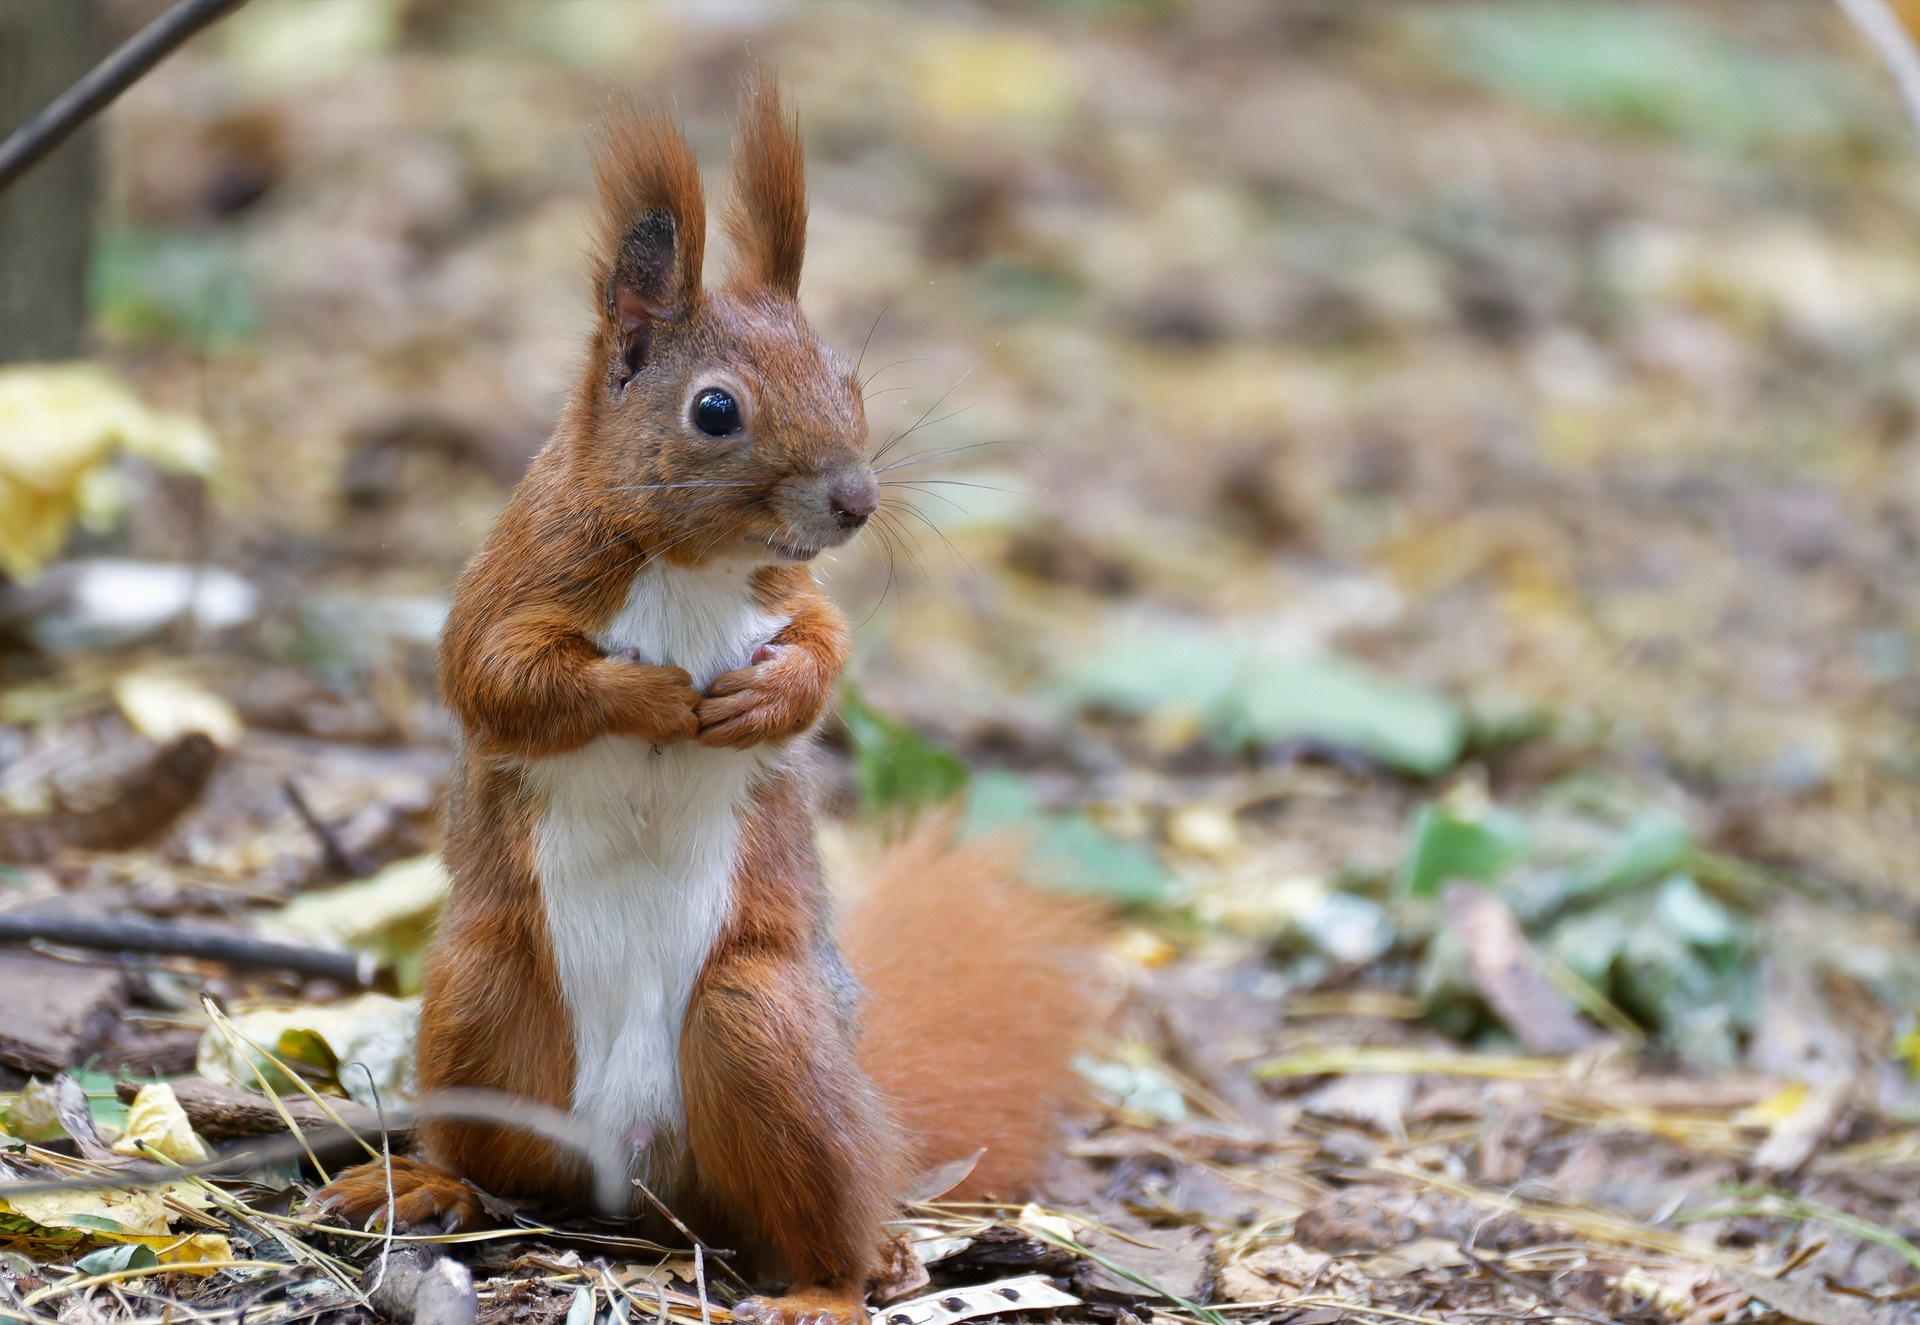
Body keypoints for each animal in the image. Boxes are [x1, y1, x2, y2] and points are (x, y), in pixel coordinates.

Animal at [314, 74, 1096, 1325]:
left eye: (849, 381)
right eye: (715, 410)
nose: (856, 500)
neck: (695, 562)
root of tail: (632, 1174)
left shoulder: (795, 595)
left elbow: (822, 658)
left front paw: (759, 699)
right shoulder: (515, 580)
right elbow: (499, 676)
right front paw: (646, 697)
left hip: (758, 1023)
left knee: (824, 1213)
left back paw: (840, 1280)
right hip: (484, 992)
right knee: (495, 1156)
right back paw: (429, 1183)